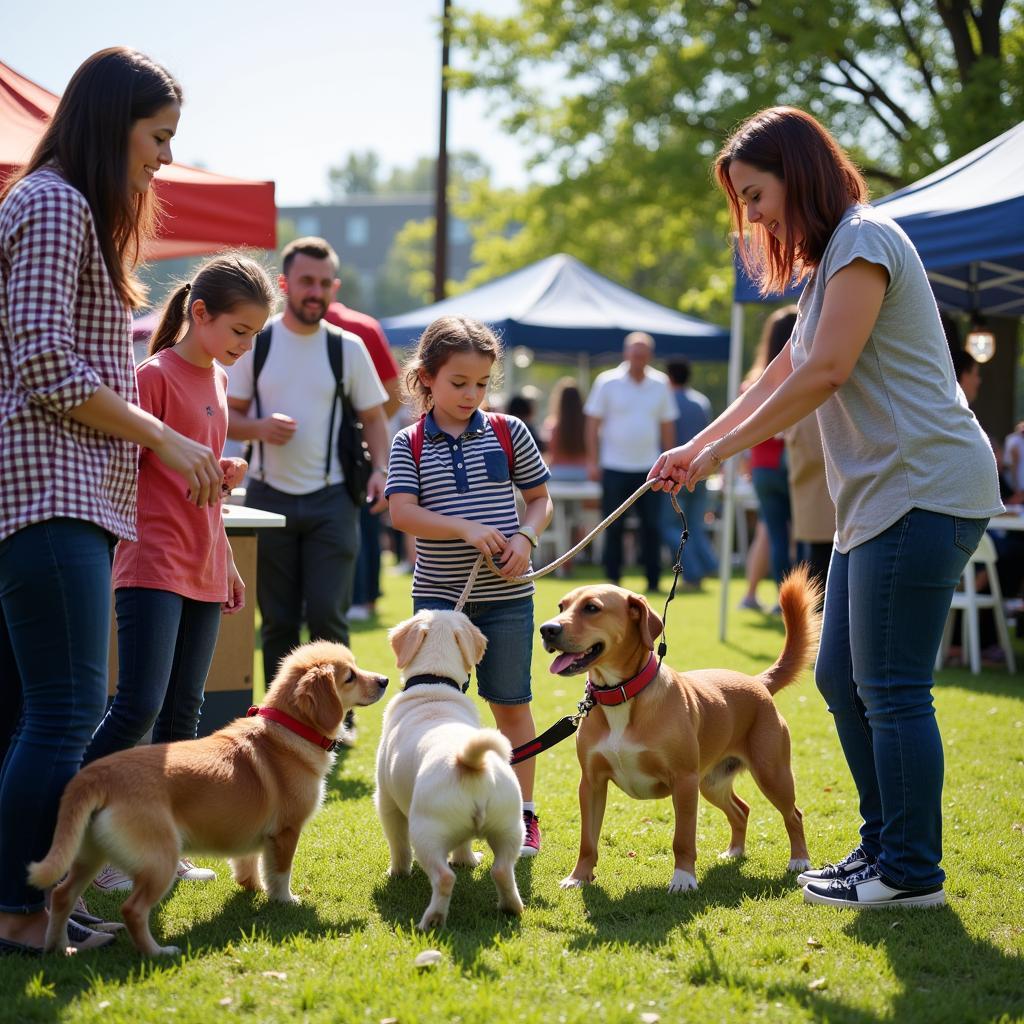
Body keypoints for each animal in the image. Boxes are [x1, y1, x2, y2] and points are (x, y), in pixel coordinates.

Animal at [29, 638, 387, 950]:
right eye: (350, 676)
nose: (384, 679)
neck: (288, 730)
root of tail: (96, 776)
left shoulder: (253, 834)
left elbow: (249, 865)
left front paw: (252, 889)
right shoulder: (287, 832)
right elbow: (280, 874)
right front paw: (286, 901)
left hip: (88, 856)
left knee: (61, 896)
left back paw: (59, 946)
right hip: (160, 860)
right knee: (132, 910)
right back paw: (157, 952)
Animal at [374, 610, 524, 933]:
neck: (434, 685)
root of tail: (471, 761)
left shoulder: (386, 802)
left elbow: (397, 844)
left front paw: (397, 872)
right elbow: (464, 844)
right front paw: (467, 860)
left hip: (425, 832)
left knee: (443, 877)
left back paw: (431, 919)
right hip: (510, 826)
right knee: (502, 870)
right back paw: (512, 906)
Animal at [540, 569, 819, 897]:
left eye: (592, 608)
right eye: (561, 606)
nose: (547, 630)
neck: (621, 694)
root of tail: (757, 682)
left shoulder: (684, 781)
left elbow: (683, 839)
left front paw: (684, 879)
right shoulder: (591, 783)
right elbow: (587, 841)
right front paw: (579, 877)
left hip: (771, 774)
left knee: (794, 814)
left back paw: (799, 859)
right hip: (712, 782)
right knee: (741, 810)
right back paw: (734, 851)